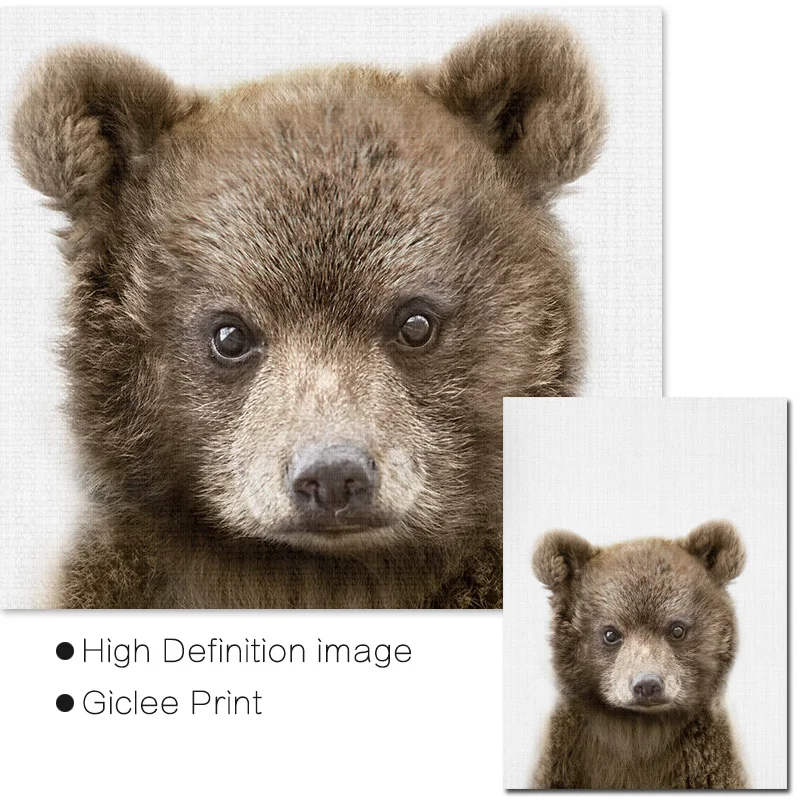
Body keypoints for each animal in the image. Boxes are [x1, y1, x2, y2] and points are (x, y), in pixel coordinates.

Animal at [530, 520, 748, 788]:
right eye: (610, 633)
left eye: (677, 629)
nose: (647, 685)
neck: (639, 729)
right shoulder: (565, 760)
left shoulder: (705, 763)